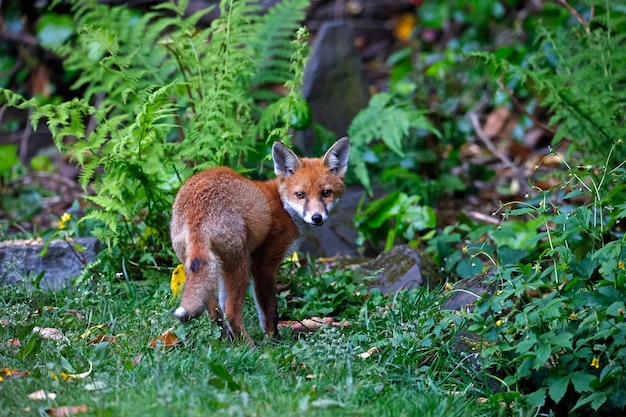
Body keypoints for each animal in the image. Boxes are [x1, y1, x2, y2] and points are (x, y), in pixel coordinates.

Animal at [168, 138, 348, 342]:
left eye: (326, 193)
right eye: (300, 195)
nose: (316, 217)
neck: (284, 207)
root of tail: (197, 212)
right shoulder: (264, 264)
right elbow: (270, 312)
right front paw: (274, 340)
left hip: (210, 267)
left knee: (215, 310)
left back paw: (226, 340)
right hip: (240, 267)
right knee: (231, 312)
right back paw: (250, 345)